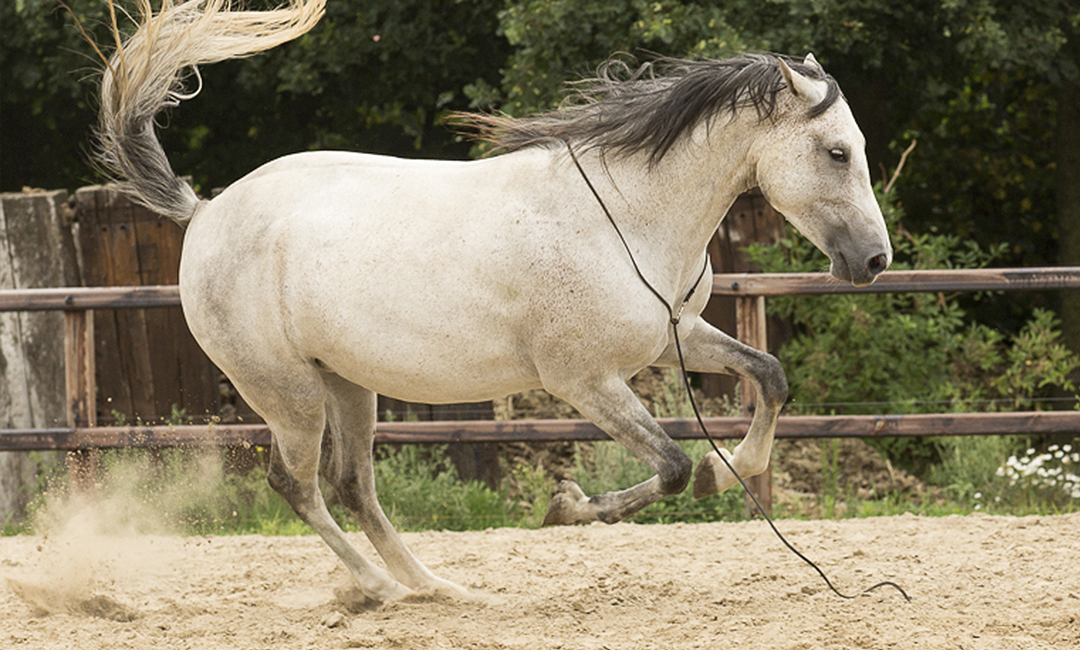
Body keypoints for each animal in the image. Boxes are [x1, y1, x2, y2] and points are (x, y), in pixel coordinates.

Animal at [95, 0, 885, 600]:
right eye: (836, 153)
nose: (875, 262)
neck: (628, 217)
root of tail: (204, 212)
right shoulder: (583, 381)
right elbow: (671, 467)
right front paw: (568, 507)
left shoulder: (675, 336)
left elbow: (769, 379)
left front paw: (728, 470)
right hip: (288, 393)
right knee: (296, 485)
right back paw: (376, 591)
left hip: (346, 384)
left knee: (353, 485)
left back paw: (435, 587)